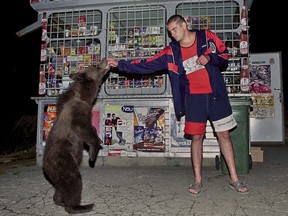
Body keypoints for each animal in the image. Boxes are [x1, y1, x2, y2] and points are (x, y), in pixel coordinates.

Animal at [42, 57, 111, 214]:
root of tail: (45, 167)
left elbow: (91, 128)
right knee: (74, 180)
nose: (104, 59)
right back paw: (79, 206)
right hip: (63, 161)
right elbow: (83, 129)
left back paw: (59, 200)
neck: (85, 96)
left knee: (61, 187)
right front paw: (94, 151)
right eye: (95, 66)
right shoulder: (78, 111)